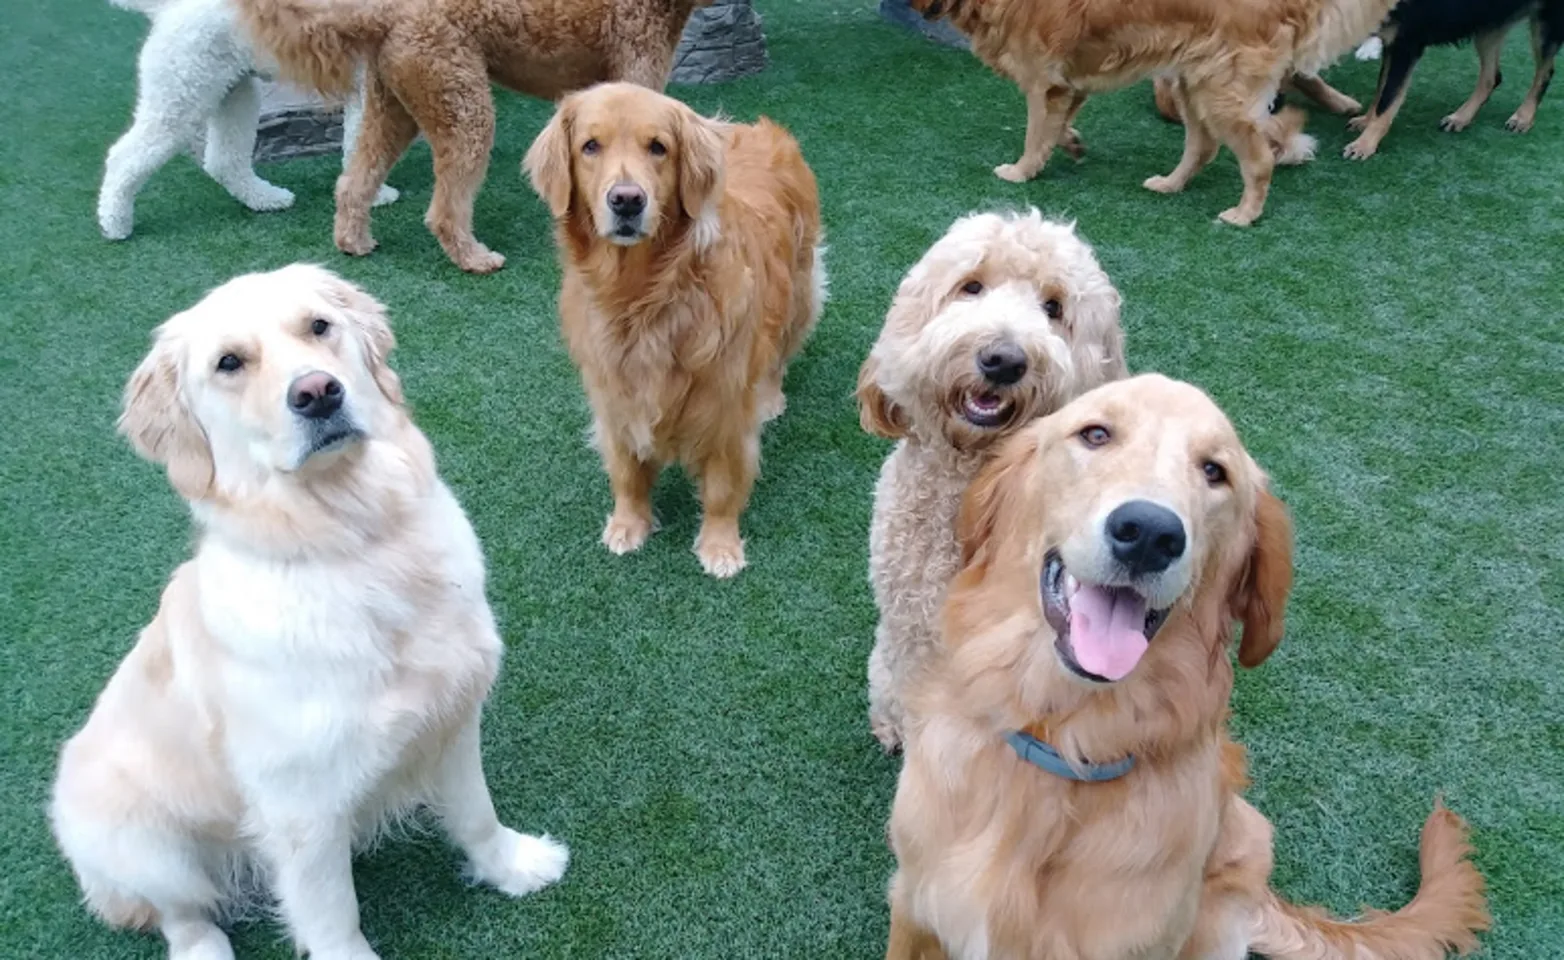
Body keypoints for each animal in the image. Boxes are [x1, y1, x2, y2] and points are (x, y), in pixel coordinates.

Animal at [52, 265, 572, 960]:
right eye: (229, 363)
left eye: (318, 327)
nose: (318, 392)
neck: (359, 542)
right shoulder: (301, 808)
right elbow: (332, 915)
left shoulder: (454, 720)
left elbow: (476, 814)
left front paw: (512, 866)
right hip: (143, 845)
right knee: (180, 912)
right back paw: (203, 947)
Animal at [99, 0, 397, 242]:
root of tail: (169, 8)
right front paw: (376, 196)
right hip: (182, 97)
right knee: (124, 156)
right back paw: (115, 224)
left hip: (235, 93)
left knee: (223, 161)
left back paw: (266, 199)